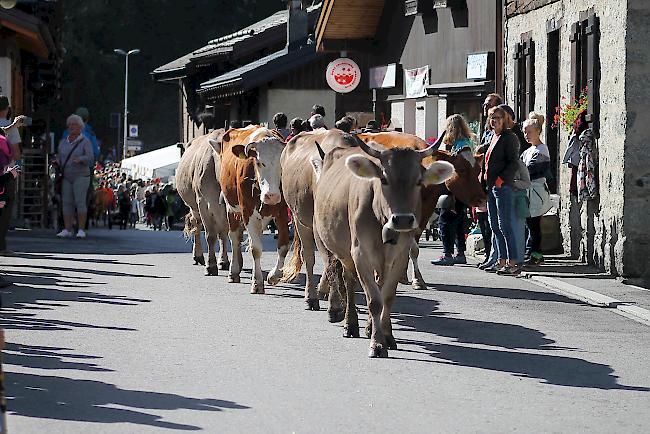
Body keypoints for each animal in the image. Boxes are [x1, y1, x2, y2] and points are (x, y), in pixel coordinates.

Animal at [175, 129, 230, 274]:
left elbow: (223, 232)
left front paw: (223, 261)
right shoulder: (203, 202)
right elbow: (210, 235)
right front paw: (211, 265)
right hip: (193, 206)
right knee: (196, 224)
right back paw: (198, 256)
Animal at [218, 125, 288, 294]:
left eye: (281, 163)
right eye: (259, 162)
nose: (271, 196)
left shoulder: (283, 212)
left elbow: (283, 246)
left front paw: (274, 276)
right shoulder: (247, 211)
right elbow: (255, 249)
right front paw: (257, 282)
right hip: (231, 208)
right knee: (234, 238)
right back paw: (233, 272)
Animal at [312, 141, 454, 358]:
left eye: (418, 181)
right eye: (384, 179)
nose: (402, 220)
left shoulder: (400, 256)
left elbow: (387, 297)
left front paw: (386, 336)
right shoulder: (360, 253)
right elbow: (374, 301)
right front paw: (377, 344)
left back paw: (369, 326)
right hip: (342, 252)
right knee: (348, 281)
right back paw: (350, 324)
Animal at [354, 131, 486, 288]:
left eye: (478, 170)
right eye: (462, 170)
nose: (482, 199)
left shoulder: (422, 214)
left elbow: (413, 248)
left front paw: (409, 277)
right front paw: (414, 279)